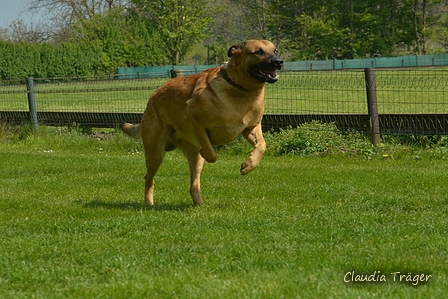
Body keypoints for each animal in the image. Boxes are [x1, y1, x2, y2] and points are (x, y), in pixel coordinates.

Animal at [121, 39, 284, 206]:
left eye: (275, 51)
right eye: (258, 52)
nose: (279, 61)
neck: (239, 89)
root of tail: (153, 97)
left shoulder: (251, 128)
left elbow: (262, 145)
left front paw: (248, 165)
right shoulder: (194, 118)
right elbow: (212, 154)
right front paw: (208, 153)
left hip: (189, 159)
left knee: (193, 185)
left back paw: (199, 204)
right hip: (155, 153)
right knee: (148, 177)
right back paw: (149, 203)